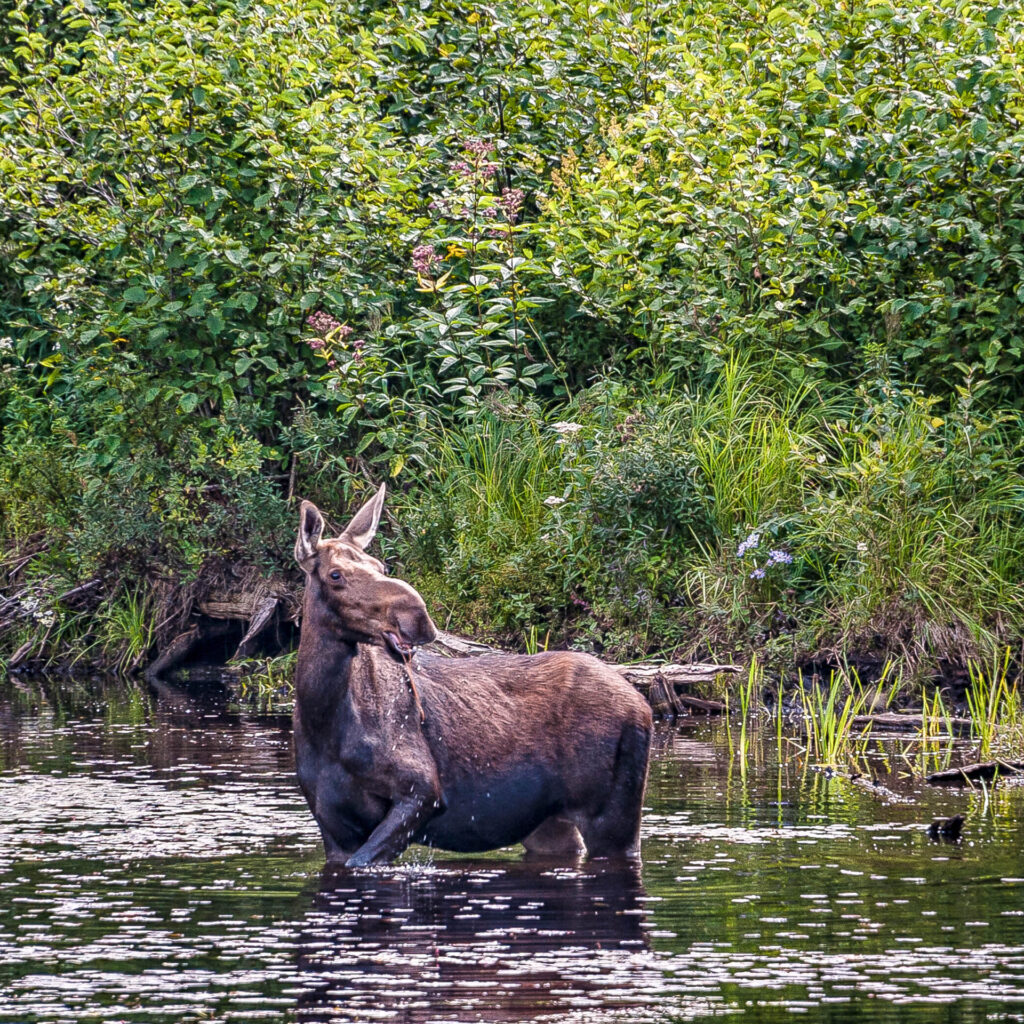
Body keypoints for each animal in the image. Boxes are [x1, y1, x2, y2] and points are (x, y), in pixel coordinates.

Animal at [292, 483, 651, 868]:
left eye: (380, 565)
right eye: (335, 575)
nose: (418, 617)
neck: (324, 721)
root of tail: (644, 706)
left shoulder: (423, 790)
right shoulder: (333, 827)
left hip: (611, 814)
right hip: (549, 823)